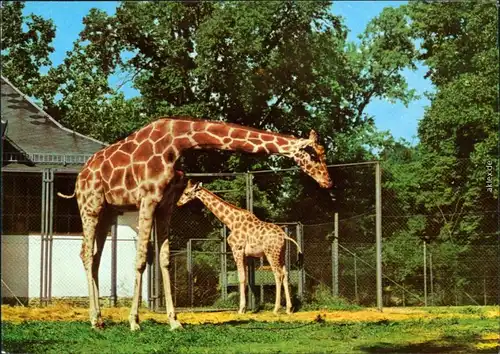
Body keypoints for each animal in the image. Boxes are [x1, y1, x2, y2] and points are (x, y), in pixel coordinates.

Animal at [177, 178, 300, 314]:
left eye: (186, 193)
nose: (178, 203)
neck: (231, 222)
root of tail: (284, 236)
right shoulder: (246, 254)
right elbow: (245, 278)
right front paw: (244, 308)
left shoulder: (237, 249)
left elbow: (240, 278)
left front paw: (241, 309)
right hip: (281, 253)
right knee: (286, 274)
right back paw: (289, 308)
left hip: (271, 253)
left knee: (278, 274)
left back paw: (276, 308)